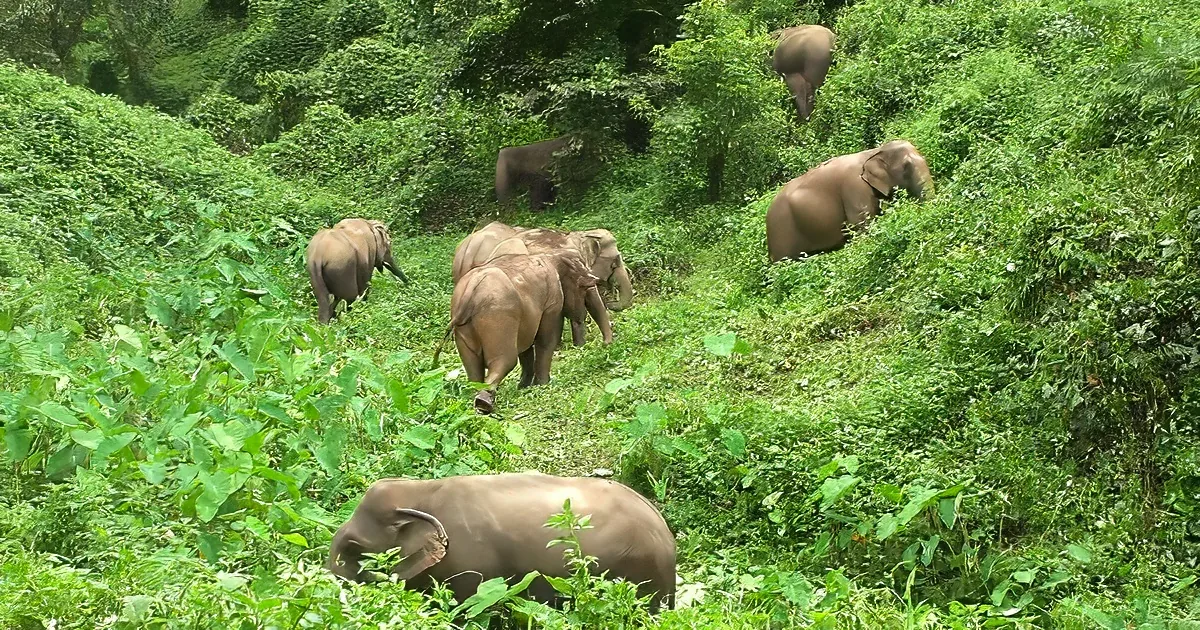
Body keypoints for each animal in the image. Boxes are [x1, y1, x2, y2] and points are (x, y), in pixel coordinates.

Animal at [450, 249, 612, 413]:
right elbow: (547, 340)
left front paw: (523, 387)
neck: (553, 255)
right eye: (583, 287)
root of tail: (470, 289)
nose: (605, 345)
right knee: (505, 360)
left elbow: (526, 347)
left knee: (472, 365)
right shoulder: (552, 302)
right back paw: (483, 403)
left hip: (466, 325)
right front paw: (543, 385)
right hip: (498, 317)